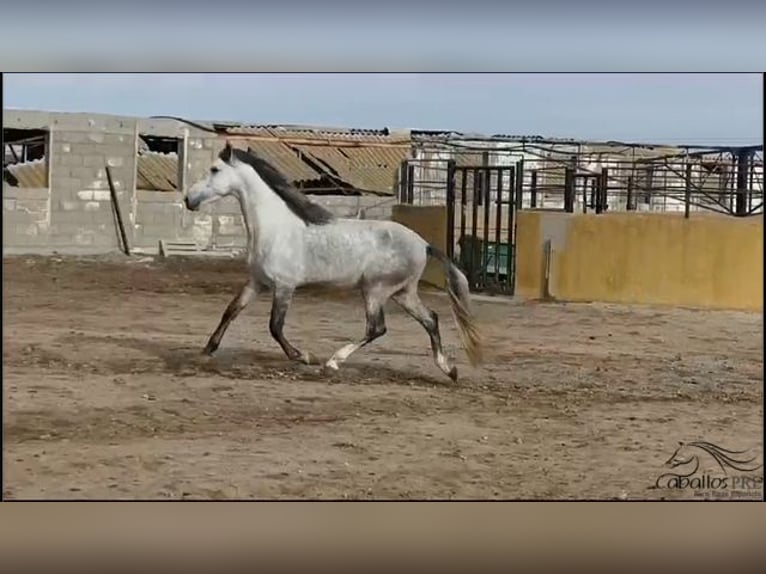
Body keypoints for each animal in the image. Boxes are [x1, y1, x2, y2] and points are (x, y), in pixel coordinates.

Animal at [185, 141, 484, 380]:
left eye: (214, 169)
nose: (189, 199)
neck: (275, 228)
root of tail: (423, 244)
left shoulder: (284, 286)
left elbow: (275, 327)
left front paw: (304, 356)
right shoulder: (257, 282)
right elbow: (231, 310)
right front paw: (207, 349)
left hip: (376, 290)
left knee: (377, 327)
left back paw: (333, 361)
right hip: (402, 292)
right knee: (430, 319)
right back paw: (449, 369)